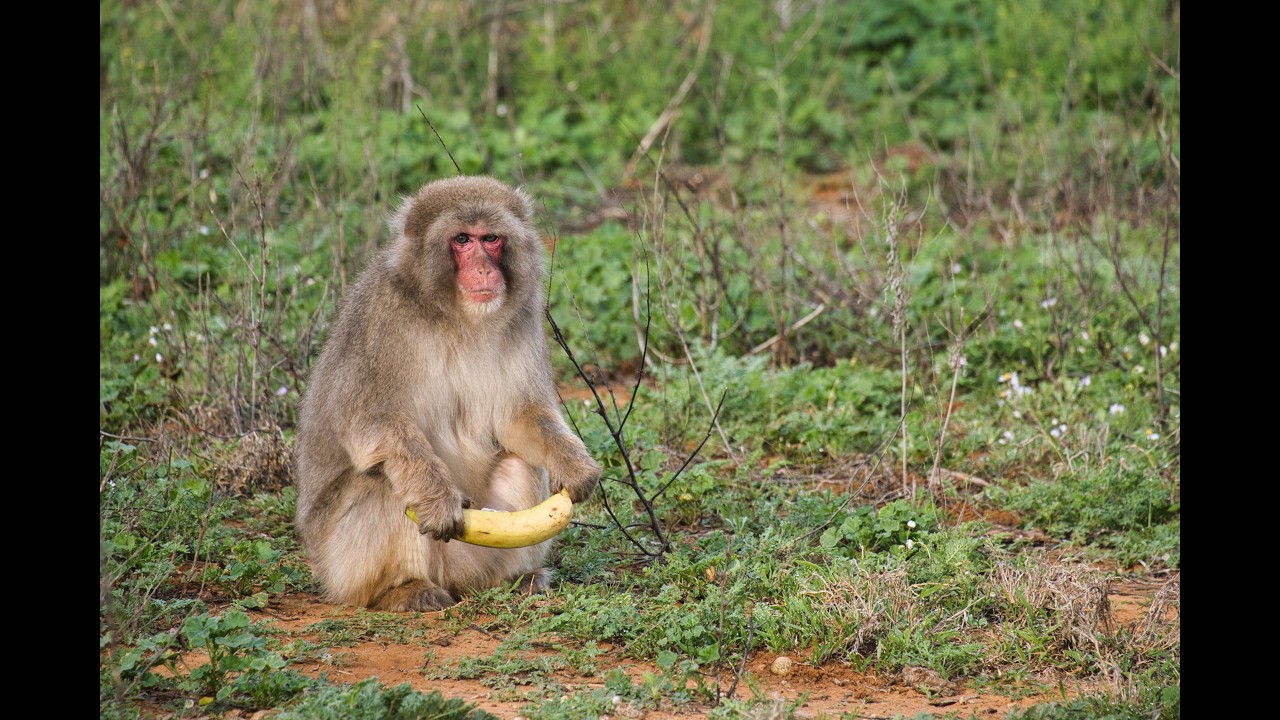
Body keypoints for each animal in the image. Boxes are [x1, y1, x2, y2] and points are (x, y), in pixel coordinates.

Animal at [293, 175, 602, 612]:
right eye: (461, 240)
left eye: (490, 238)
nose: (483, 268)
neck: (455, 315)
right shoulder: (380, 322)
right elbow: (371, 422)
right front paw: (437, 497)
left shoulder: (523, 317)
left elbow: (520, 416)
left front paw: (573, 464)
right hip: (342, 566)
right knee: (382, 479)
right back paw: (404, 588)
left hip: (472, 557)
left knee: (521, 464)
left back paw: (513, 579)